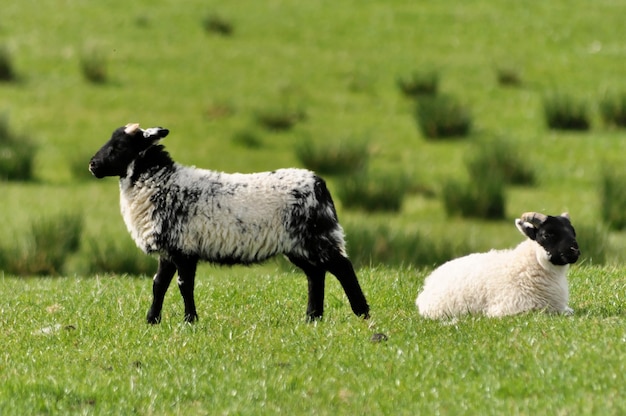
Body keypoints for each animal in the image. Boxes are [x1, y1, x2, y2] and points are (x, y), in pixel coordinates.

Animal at [89, 123, 370, 324]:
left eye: (119, 146)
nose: (92, 164)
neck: (161, 183)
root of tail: (318, 182)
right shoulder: (170, 249)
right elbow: (159, 285)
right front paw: (152, 321)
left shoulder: (184, 248)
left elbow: (183, 285)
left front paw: (190, 321)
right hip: (298, 244)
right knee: (316, 274)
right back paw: (313, 317)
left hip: (316, 235)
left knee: (342, 267)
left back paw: (362, 313)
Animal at [414, 213, 580, 320]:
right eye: (547, 234)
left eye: (573, 232)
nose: (575, 251)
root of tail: (428, 283)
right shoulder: (512, 309)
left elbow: (569, 311)